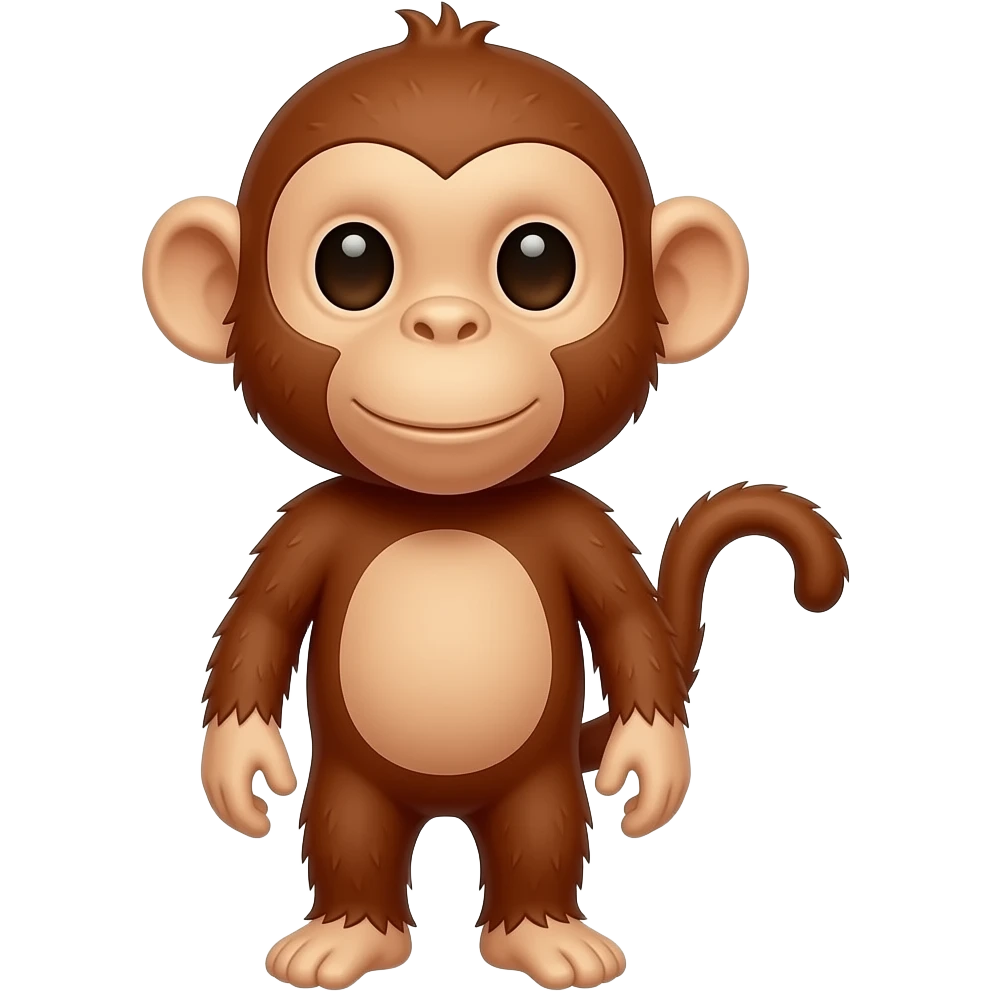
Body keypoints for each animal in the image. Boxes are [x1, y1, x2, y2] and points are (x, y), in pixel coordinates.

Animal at [141, 6, 847, 990]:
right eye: (350, 264)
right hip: (353, 781)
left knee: (537, 834)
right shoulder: (303, 525)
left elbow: (626, 626)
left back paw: (543, 935)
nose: (444, 323)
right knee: (349, 832)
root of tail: (446, 807)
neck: (448, 506)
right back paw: (347, 934)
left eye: (536, 263)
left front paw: (651, 760)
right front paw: (237, 762)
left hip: (536, 781)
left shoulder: (580, 525)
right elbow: (260, 621)